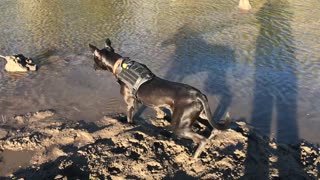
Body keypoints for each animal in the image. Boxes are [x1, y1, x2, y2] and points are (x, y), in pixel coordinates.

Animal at [89, 38, 231, 158]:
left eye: (94, 59)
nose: (93, 68)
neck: (119, 65)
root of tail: (198, 95)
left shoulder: (130, 103)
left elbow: (129, 118)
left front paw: (128, 126)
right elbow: (158, 109)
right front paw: (160, 115)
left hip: (180, 126)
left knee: (202, 140)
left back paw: (193, 158)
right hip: (201, 115)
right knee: (214, 129)